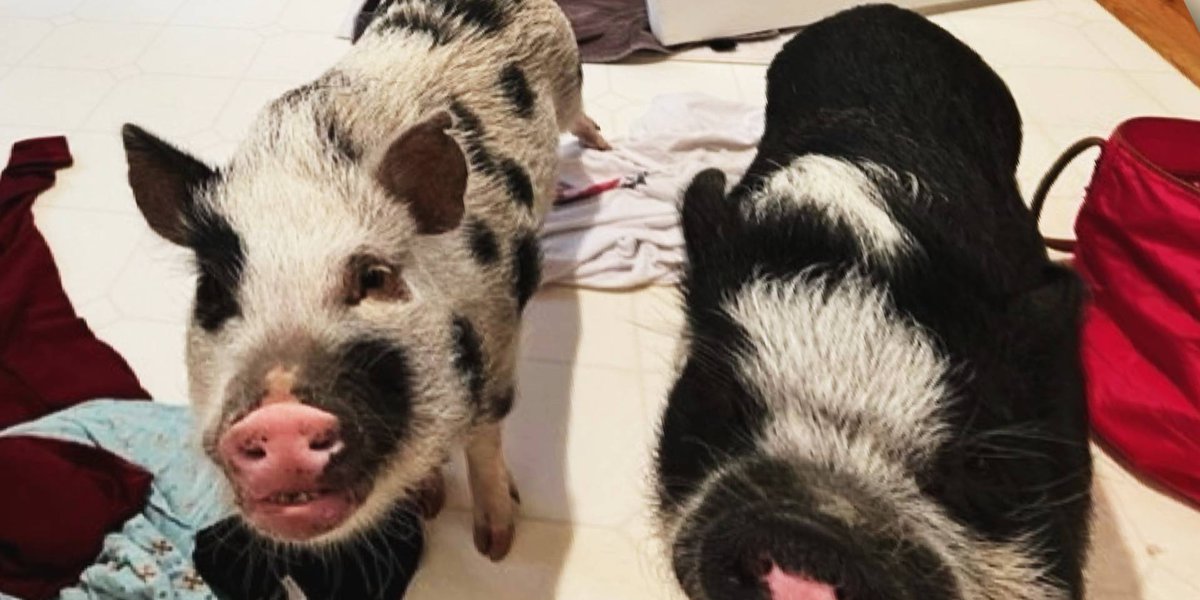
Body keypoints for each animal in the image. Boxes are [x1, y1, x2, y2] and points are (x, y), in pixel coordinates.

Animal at [121, 0, 608, 562]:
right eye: (213, 292)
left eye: (375, 278)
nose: (278, 418)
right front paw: (428, 504)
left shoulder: (500, 338)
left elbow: (485, 439)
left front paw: (496, 545)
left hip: (569, 73)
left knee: (579, 112)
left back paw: (602, 143)